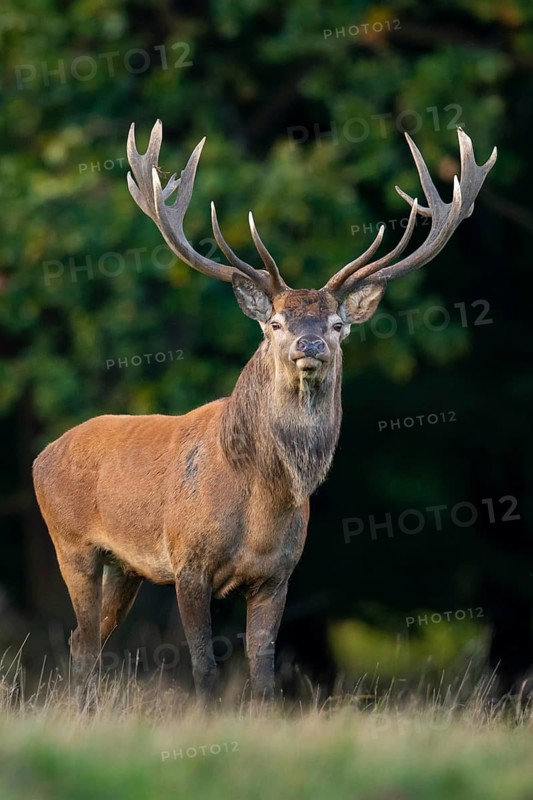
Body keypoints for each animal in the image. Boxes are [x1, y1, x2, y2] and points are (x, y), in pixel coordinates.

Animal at [33, 121, 496, 705]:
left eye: (338, 324)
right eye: (275, 322)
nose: (310, 345)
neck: (259, 497)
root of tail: (41, 455)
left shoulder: (278, 574)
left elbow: (263, 673)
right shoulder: (187, 560)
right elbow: (205, 668)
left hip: (126, 567)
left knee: (82, 640)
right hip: (70, 543)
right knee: (86, 640)